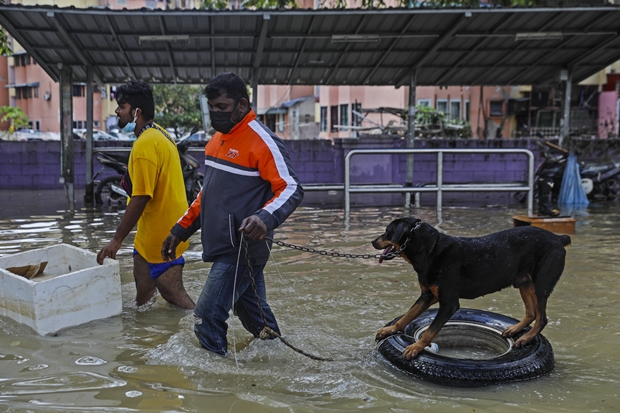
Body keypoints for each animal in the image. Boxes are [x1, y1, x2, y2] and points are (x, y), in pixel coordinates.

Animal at [370, 217, 568, 358]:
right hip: (525, 283)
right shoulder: (427, 295)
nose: (372, 242)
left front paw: (416, 347)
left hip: (541, 285)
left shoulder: (449, 303)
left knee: (542, 318)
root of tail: (559, 238)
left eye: (387, 232)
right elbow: (408, 315)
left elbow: (430, 330)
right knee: (532, 313)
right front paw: (391, 330)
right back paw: (516, 329)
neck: (431, 251)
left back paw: (527, 337)